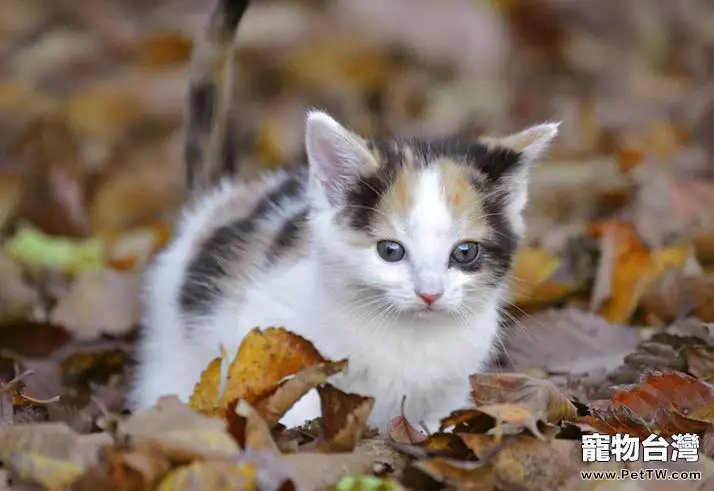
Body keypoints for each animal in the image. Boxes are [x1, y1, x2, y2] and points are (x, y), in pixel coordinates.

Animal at [129, 0, 560, 432]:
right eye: (390, 251)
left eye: (465, 252)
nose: (430, 294)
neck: (409, 336)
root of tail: (222, 198)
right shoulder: (274, 332)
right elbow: (292, 398)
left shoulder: (453, 382)